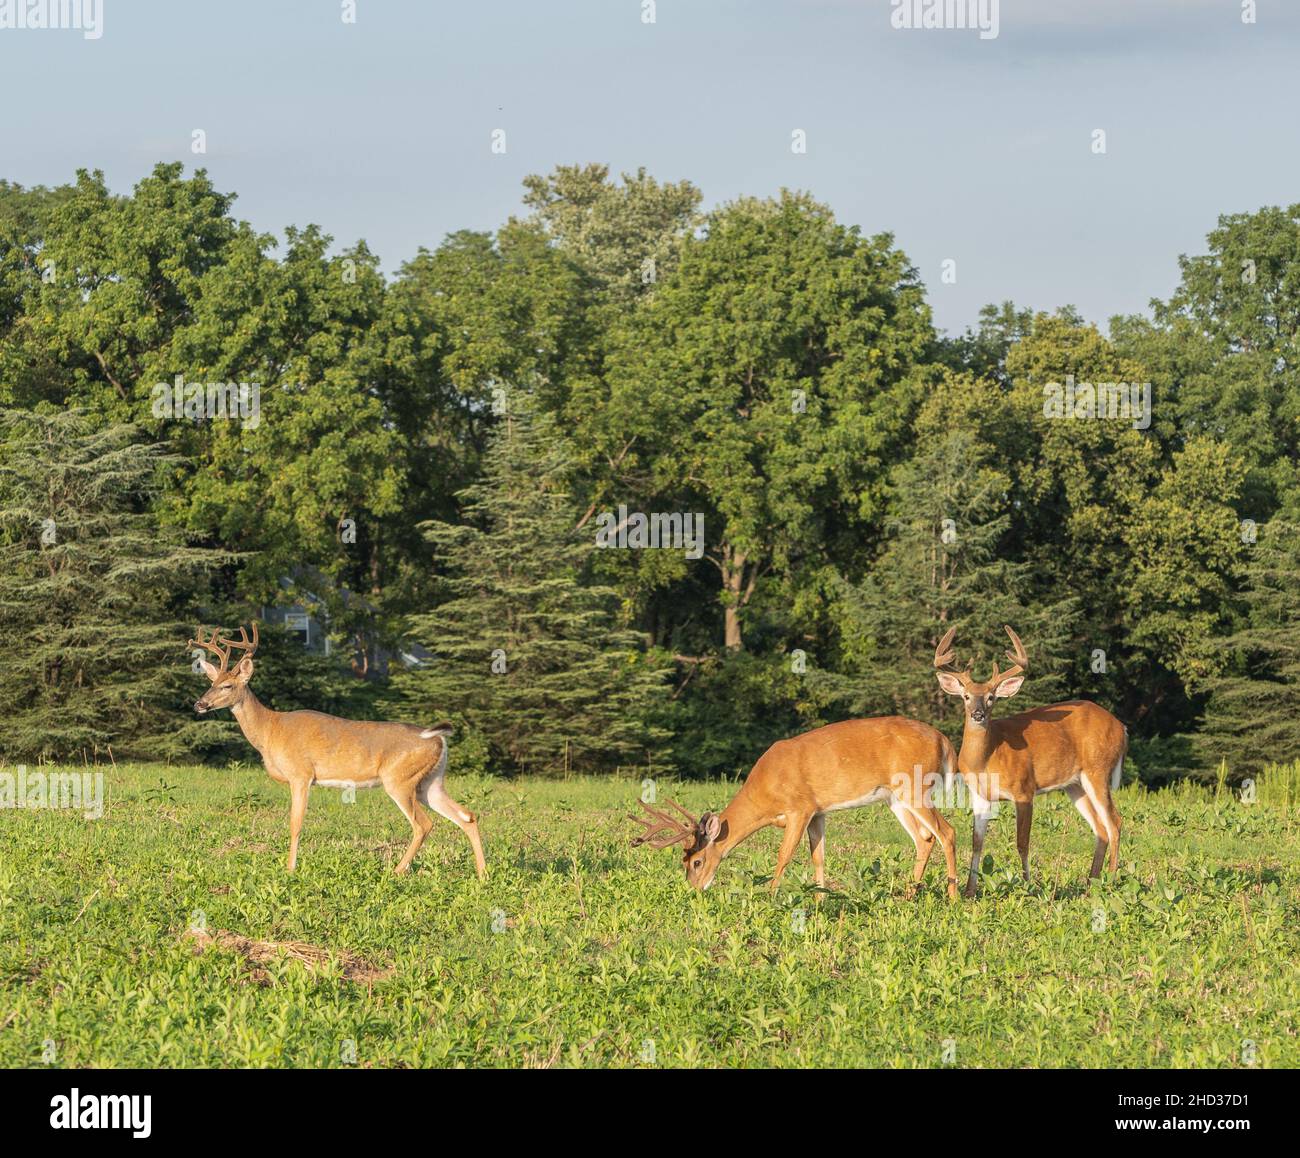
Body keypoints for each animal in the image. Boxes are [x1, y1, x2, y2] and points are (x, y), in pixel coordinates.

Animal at [188, 623, 485, 879]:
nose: (199, 704)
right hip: (430, 782)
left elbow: (295, 823)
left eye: (227, 685)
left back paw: (397, 871)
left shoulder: (301, 774)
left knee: (423, 824)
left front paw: (290, 869)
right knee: (467, 816)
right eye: (211, 683)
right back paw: (483, 874)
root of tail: (438, 739)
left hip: (399, 779)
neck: (269, 730)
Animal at [629, 717, 959, 900]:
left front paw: (770, 897)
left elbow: (784, 854)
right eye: (683, 862)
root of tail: (945, 740)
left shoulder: (800, 808)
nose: (694, 889)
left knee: (947, 832)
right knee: (924, 838)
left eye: (696, 862)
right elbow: (818, 857)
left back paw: (954, 896)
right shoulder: (818, 812)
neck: (765, 794)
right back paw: (909, 895)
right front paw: (820, 901)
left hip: (916, 786)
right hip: (896, 798)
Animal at [933, 625, 1126, 897]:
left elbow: (1022, 842)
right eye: (966, 696)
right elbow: (977, 842)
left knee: (1114, 822)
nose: (978, 714)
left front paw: (1028, 886)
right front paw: (970, 891)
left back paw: (1109, 881)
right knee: (1100, 828)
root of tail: (1122, 727)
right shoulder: (980, 795)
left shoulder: (1024, 790)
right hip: (1074, 784)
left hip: (1098, 770)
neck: (988, 758)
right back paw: (1091, 883)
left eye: (991, 697)